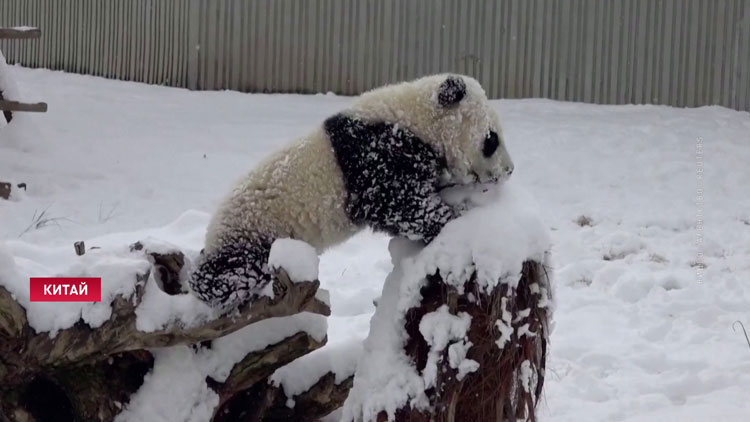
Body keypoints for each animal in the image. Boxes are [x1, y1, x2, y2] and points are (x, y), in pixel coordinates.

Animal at [191, 73, 516, 310]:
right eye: (491, 140)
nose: (509, 170)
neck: (417, 119)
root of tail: (214, 226)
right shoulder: (376, 157)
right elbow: (399, 204)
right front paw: (458, 216)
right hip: (253, 230)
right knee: (231, 271)